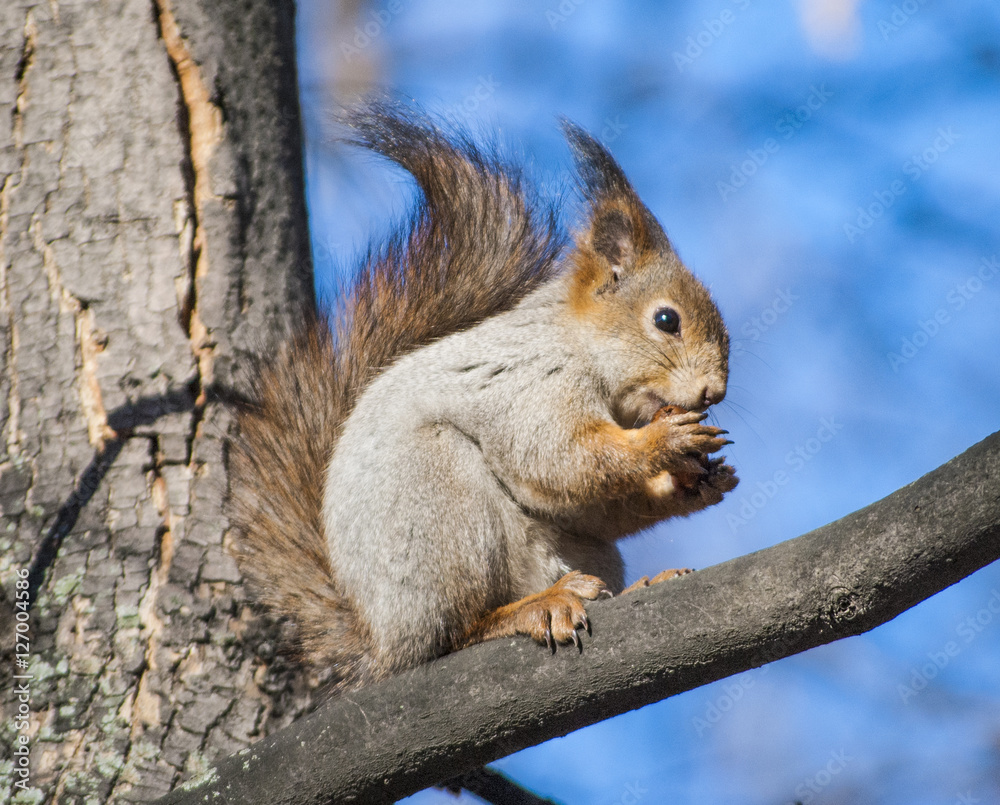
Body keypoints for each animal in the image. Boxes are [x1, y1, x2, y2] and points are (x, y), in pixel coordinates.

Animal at [228, 103, 738, 690]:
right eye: (666, 320)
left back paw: (637, 586)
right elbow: (559, 459)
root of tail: (384, 644)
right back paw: (532, 608)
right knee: (456, 631)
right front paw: (664, 441)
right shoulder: (534, 384)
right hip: (440, 503)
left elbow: (587, 502)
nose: (715, 390)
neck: (579, 344)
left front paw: (696, 483)